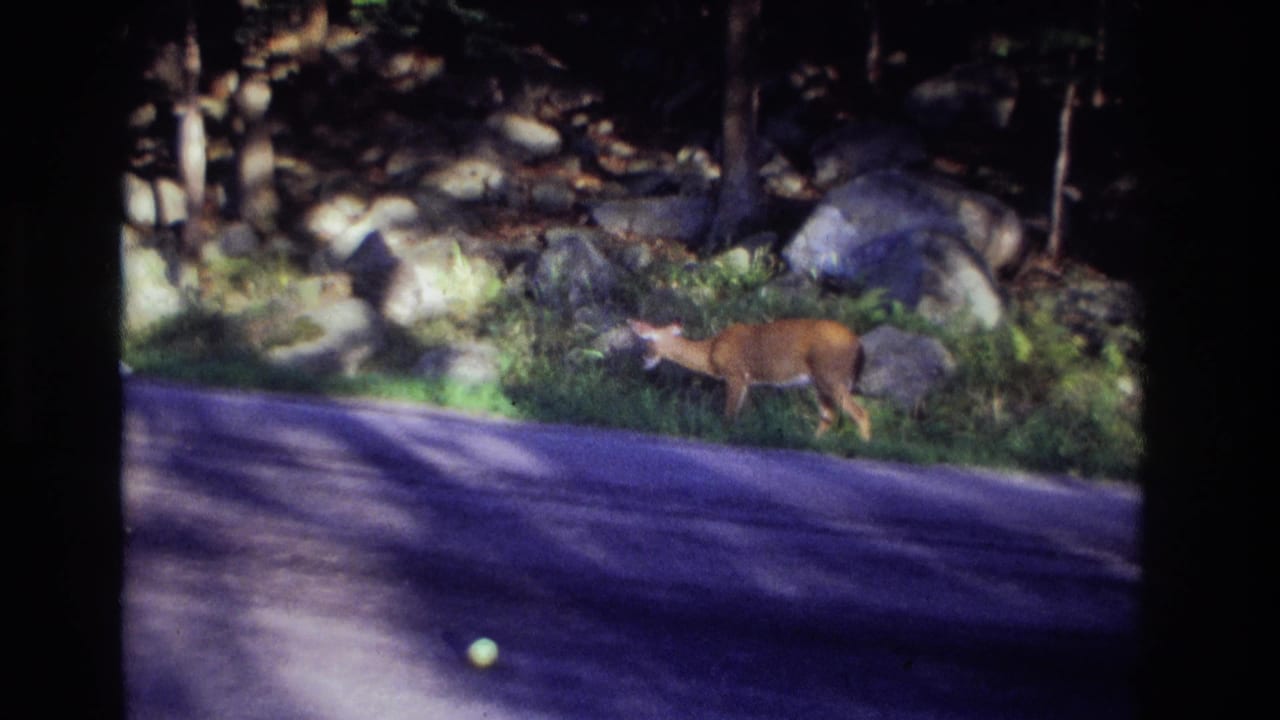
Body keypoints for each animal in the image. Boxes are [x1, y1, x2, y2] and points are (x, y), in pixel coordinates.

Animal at [627, 318, 872, 440]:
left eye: (647, 341)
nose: (643, 359)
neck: (711, 353)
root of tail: (859, 345)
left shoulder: (735, 374)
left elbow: (728, 415)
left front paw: (722, 435)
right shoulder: (747, 381)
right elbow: (743, 414)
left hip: (831, 375)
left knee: (860, 413)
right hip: (820, 381)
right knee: (829, 416)